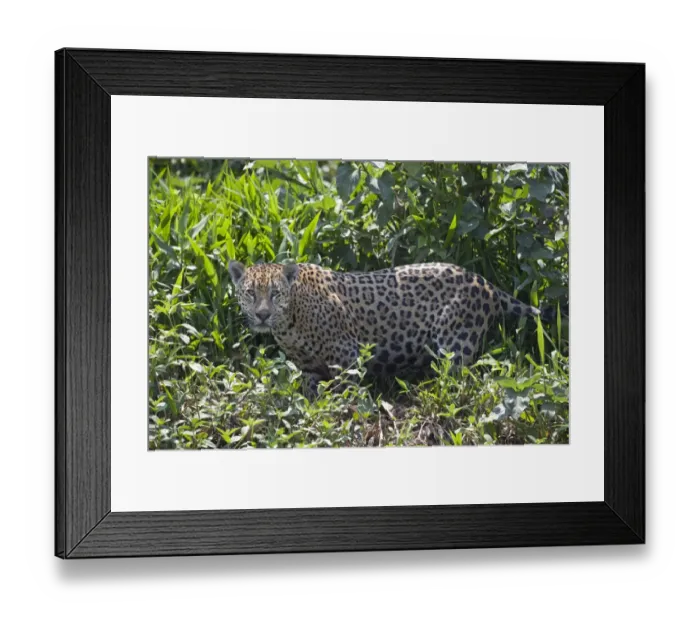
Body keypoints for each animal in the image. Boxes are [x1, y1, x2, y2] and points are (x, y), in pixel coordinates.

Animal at [228, 261, 545, 391]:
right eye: (250, 293)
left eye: (275, 293)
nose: (262, 315)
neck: (289, 322)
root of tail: (483, 281)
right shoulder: (308, 365)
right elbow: (309, 389)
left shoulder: (345, 353)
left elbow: (346, 390)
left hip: (455, 344)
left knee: (459, 379)